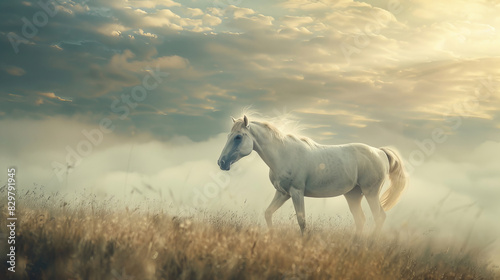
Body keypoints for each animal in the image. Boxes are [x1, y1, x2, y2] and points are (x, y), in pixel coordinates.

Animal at [218, 115, 406, 234]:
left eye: (238, 137)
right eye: (228, 136)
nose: (221, 162)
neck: (283, 154)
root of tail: (379, 152)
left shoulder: (296, 192)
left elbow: (301, 221)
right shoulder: (283, 193)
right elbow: (268, 213)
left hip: (370, 192)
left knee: (379, 217)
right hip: (353, 195)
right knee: (360, 220)